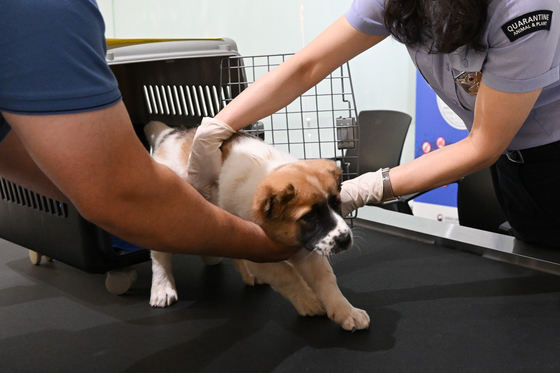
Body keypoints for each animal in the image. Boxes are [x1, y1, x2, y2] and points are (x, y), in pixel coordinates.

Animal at [147, 120, 370, 330]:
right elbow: (287, 275)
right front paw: (309, 301)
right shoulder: (261, 253)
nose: (345, 239)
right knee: (159, 255)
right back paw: (162, 287)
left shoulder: (306, 247)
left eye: (336, 204)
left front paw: (346, 311)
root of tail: (171, 134)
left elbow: (326, 279)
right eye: (310, 216)